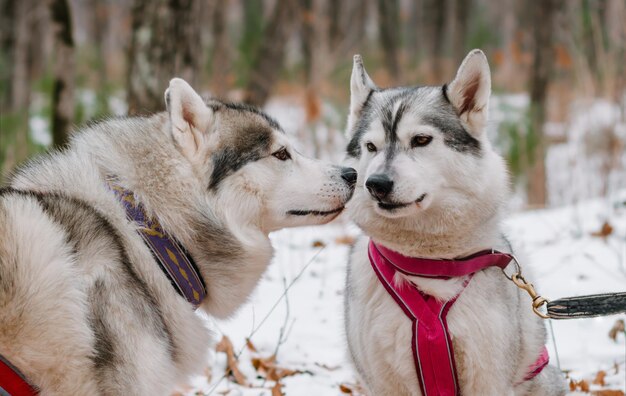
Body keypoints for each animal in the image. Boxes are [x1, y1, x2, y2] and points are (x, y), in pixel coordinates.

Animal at [342, 51, 564, 394]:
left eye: (421, 140)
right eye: (370, 147)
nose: (375, 184)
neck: (429, 264)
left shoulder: (487, 377)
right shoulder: (385, 383)